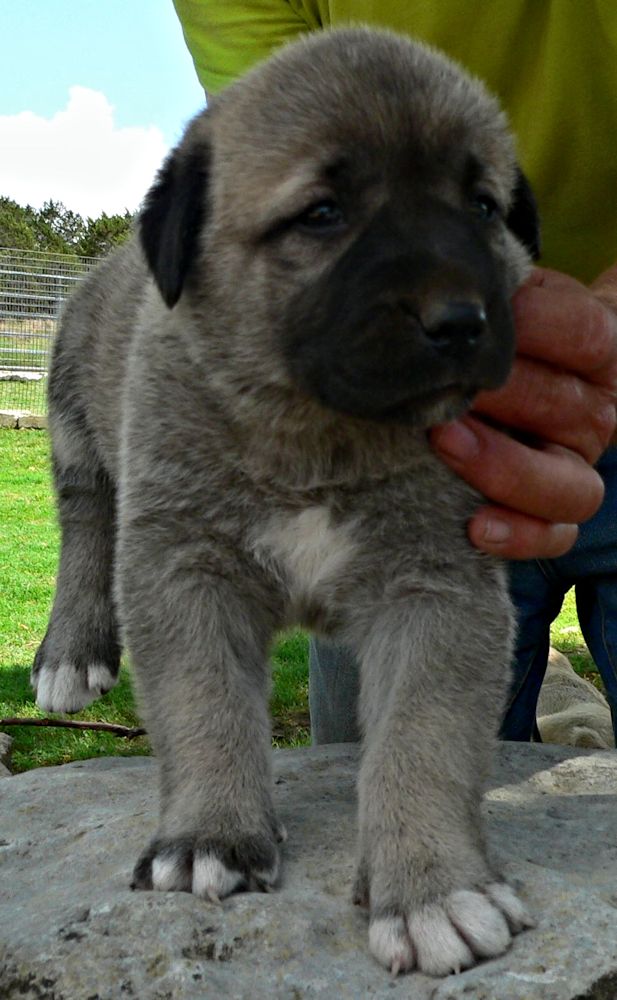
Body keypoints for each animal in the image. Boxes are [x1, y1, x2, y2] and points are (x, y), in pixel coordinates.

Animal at [33, 29, 540, 976]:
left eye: (483, 207)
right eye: (322, 214)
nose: (462, 320)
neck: (316, 434)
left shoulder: (437, 589)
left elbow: (423, 739)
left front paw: (430, 886)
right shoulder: (185, 568)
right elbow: (204, 706)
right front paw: (209, 833)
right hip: (76, 418)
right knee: (85, 518)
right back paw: (70, 654)